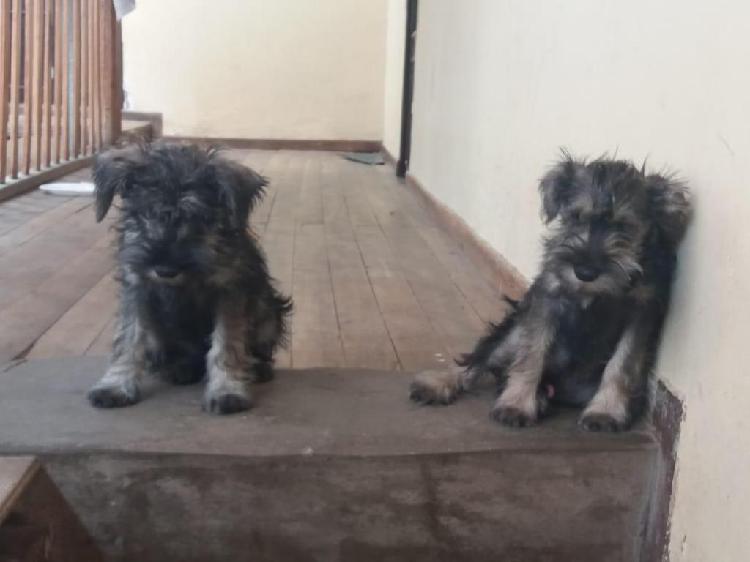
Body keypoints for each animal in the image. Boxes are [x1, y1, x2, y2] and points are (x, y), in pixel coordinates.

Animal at [85, 142, 290, 414]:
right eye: (146, 213)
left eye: (198, 217)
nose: (165, 269)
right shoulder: (138, 289)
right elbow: (127, 339)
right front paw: (115, 386)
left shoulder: (229, 292)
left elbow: (226, 344)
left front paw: (226, 390)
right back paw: (179, 368)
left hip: (268, 311)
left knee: (258, 347)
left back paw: (257, 368)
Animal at [412, 153, 692, 428]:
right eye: (576, 216)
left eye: (624, 226)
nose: (585, 273)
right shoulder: (547, 301)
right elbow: (532, 354)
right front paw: (516, 404)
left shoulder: (640, 315)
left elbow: (622, 364)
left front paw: (606, 411)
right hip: (513, 332)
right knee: (481, 359)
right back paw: (439, 384)